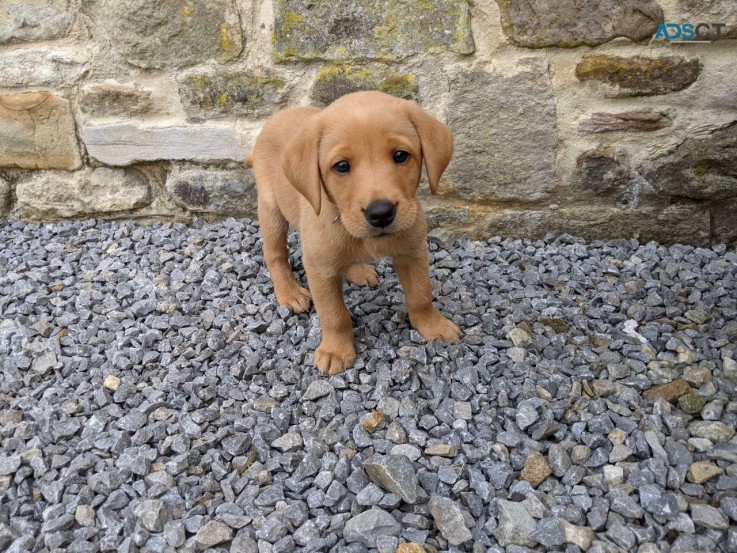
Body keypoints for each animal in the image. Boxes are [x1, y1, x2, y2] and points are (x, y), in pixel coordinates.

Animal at [244, 91, 458, 376]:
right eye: (342, 166)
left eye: (401, 155)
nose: (381, 213)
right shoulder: (319, 267)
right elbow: (334, 314)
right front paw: (336, 350)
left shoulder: (412, 252)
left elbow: (421, 295)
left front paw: (433, 325)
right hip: (271, 208)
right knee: (274, 252)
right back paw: (289, 292)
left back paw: (357, 271)